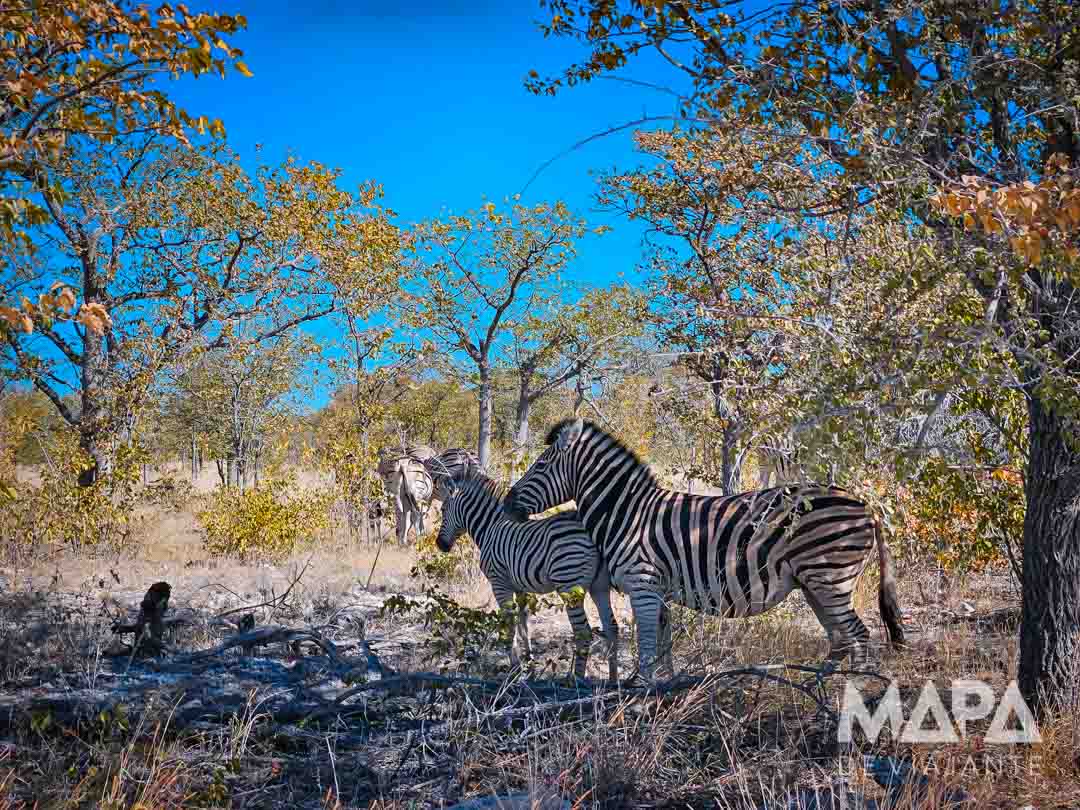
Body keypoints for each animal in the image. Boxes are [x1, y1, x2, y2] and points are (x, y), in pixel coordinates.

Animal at [437, 472, 619, 681]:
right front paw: (529, 667)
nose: (439, 545)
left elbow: (509, 626)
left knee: (584, 633)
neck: (490, 527)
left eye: (443, 509)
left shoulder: (500, 583)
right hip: (599, 585)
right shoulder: (521, 587)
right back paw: (613, 680)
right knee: (612, 628)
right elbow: (524, 627)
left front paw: (514, 670)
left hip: (569, 584)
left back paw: (577, 681)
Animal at [505, 418, 905, 681]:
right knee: (840, 638)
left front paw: (639, 698)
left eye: (540, 465)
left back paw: (852, 693)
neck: (628, 514)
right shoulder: (658, 590)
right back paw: (818, 684)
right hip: (813, 583)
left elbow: (646, 647)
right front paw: (664, 689)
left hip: (830, 575)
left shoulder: (643, 584)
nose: (508, 503)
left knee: (859, 636)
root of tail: (865, 504)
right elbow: (663, 644)